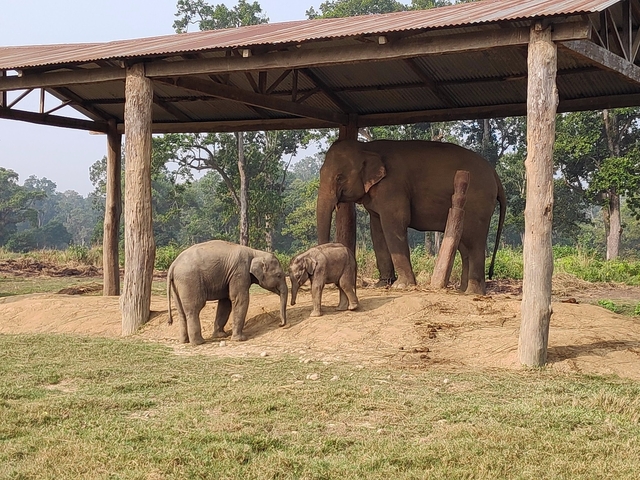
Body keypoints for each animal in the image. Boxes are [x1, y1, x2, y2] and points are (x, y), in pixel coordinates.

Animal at [317, 139, 506, 294]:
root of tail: (494, 173)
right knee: (465, 246)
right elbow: (377, 230)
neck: (366, 147)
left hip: (478, 203)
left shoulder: (392, 187)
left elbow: (395, 224)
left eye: (339, 177)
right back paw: (462, 290)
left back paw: (472, 292)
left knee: (475, 242)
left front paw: (402, 285)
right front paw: (383, 284)